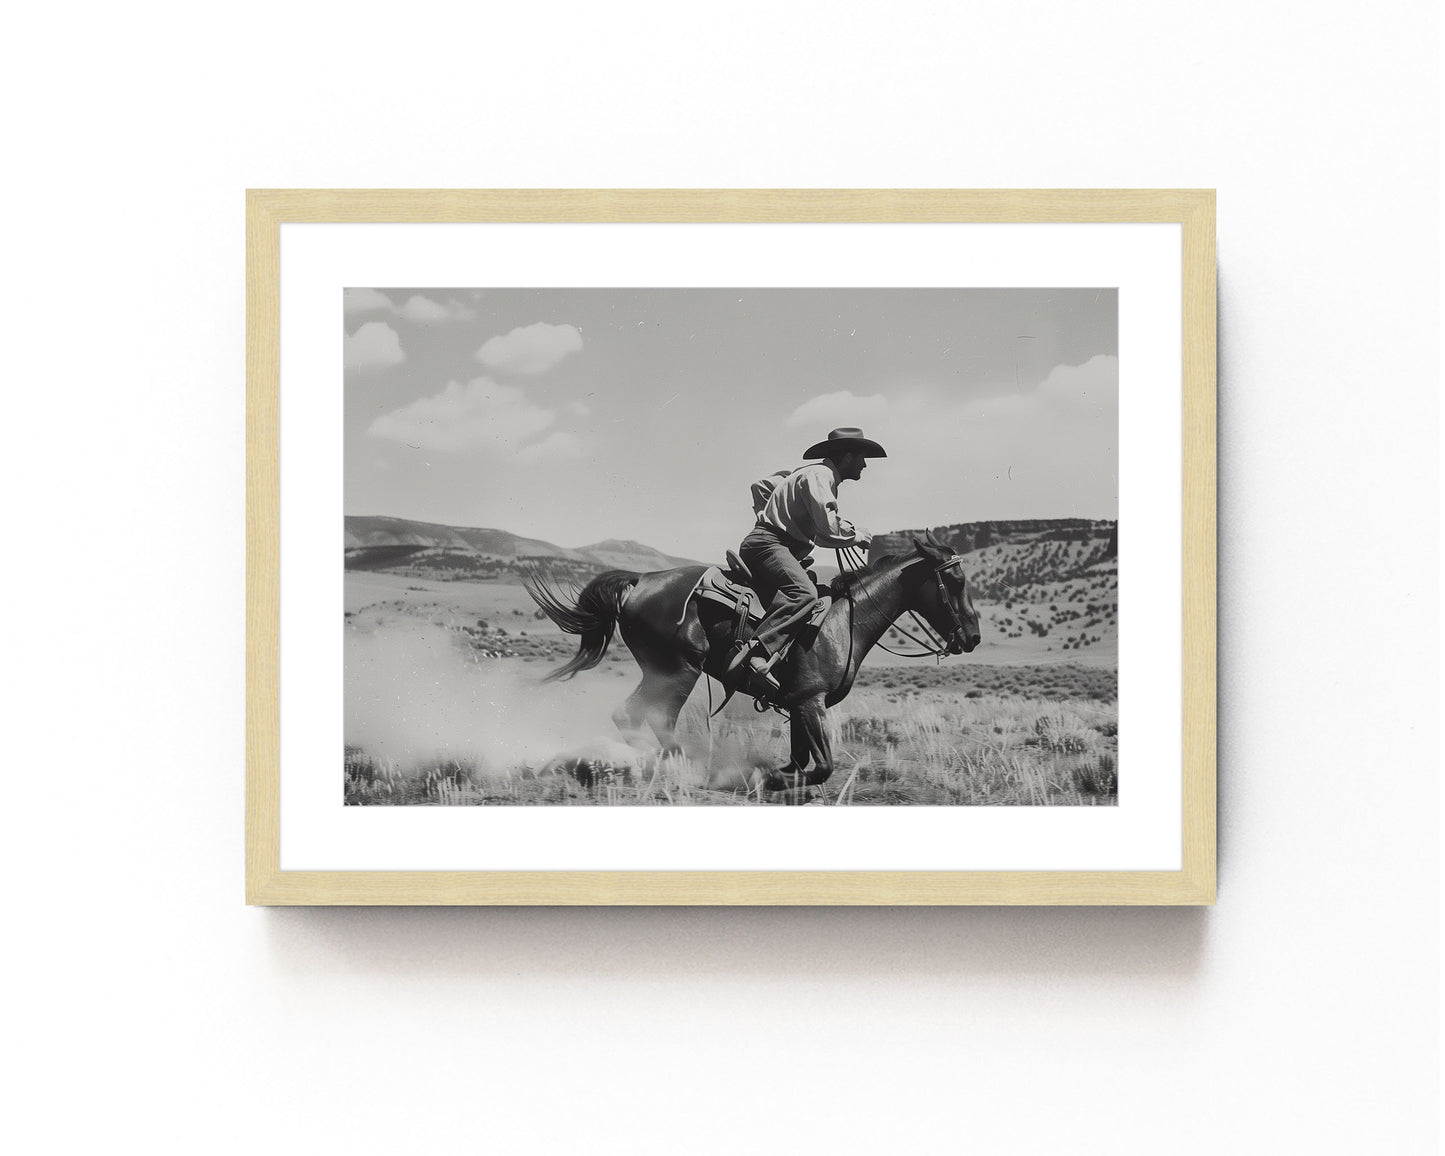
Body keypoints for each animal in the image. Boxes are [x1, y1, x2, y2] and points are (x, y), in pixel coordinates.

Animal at [523, 534, 982, 791]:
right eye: (956, 580)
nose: (973, 637)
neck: (844, 621)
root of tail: (640, 581)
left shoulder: (798, 705)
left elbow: (801, 760)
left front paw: (778, 777)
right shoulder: (811, 702)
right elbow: (821, 767)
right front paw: (771, 779)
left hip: (664, 670)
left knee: (632, 715)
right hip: (678, 670)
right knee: (647, 715)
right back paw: (682, 767)